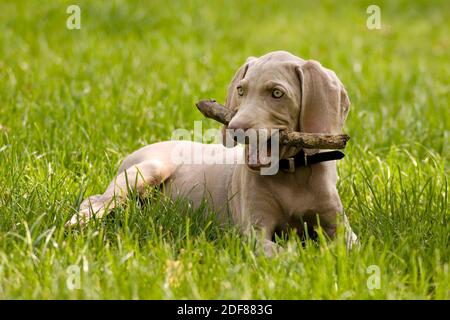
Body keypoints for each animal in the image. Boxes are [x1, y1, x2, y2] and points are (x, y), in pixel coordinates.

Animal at [65, 50, 358, 255]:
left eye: (277, 93)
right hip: (147, 169)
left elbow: (349, 246)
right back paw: (77, 224)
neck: (291, 173)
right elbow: (285, 253)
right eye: (241, 90)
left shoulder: (340, 227)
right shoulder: (254, 232)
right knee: (96, 200)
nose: (236, 128)